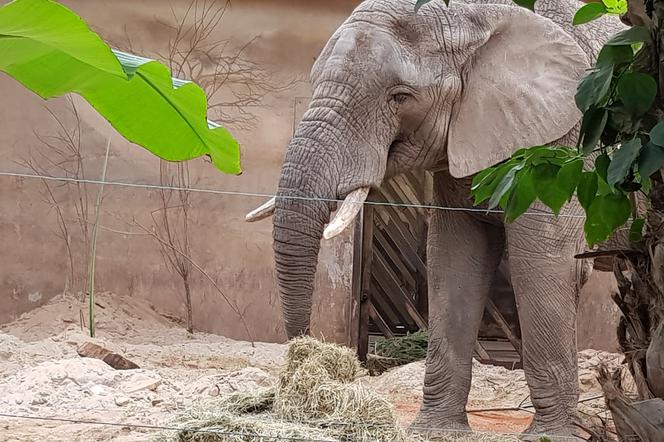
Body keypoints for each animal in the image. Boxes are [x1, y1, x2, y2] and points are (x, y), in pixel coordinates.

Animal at [246, 0, 624, 436]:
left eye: (400, 97)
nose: (303, 352)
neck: (479, 18)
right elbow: (453, 259)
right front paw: (436, 431)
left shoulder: (564, 147)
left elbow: (544, 263)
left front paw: (550, 437)